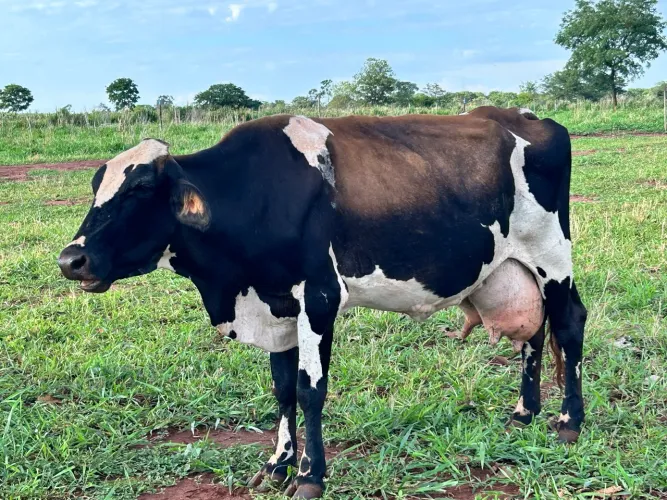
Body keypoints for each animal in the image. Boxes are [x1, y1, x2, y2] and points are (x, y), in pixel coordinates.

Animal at [58, 107, 587, 499]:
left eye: (141, 187)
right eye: (96, 186)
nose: (71, 259)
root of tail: (526, 116)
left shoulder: (319, 297)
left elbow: (310, 388)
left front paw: (310, 476)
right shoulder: (275, 305)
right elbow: (282, 389)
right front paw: (278, 465)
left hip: (552, 255)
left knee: (568, 323)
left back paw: (568, 422)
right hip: (514, 267)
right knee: (533, 332)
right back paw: (524, 412)